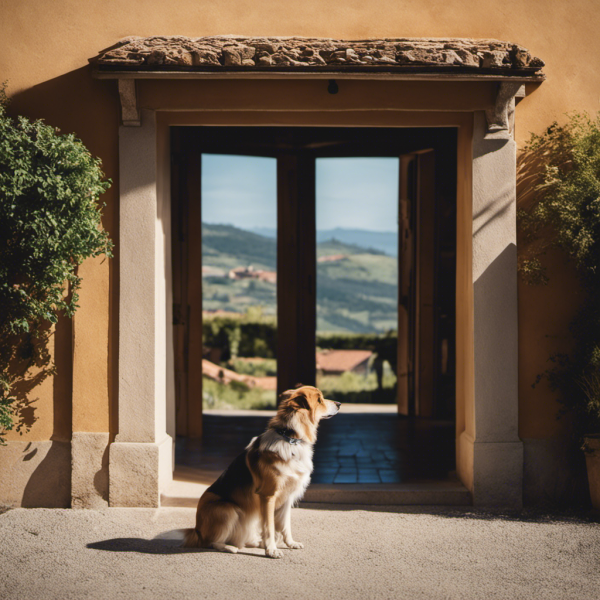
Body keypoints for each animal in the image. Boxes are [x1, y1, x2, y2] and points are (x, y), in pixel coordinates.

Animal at [183, 384, 340, 556]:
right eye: (319, 400)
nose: (339, 404)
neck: (290, 439)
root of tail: (196, 531)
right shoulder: (268, 496)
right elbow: (269, 526)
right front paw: (271, 550)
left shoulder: (287, 496)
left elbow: (285, 524)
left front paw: (290, 543)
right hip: (228, 509)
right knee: (211, 542)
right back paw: (230, 547)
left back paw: (255, 542)